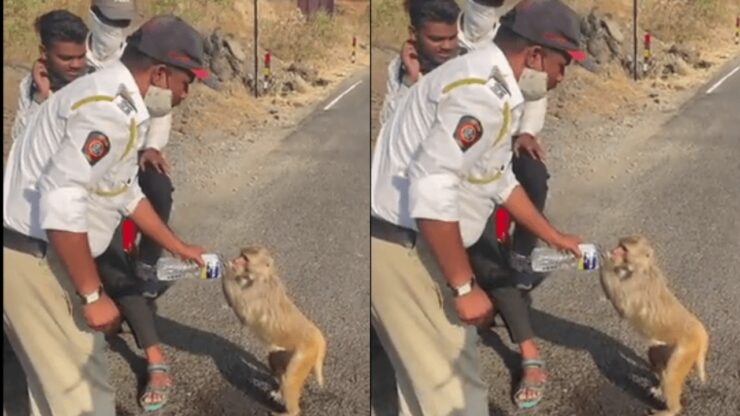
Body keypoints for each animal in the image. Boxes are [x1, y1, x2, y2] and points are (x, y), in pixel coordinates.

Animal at [223, 245, 326, 414]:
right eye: (240, 255)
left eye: (244, 258)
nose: (236, 260)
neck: (261, 276)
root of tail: (319, 338)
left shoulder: (258, 291)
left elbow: (243, 314)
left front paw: (227, 269)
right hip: (286, 350)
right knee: (275, 361)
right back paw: (279, 392)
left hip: (305, 354)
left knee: (290, 380)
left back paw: (291, 412)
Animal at [600, 236, 708, 414]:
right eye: (619, 245)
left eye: (623, 249)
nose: (614, 251)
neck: (640, 268)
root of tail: (701, 332)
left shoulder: (637, 283)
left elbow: (621, 306)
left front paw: (606, 261)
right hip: (667, 345)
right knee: (654, 355)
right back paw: (660, 388)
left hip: (686, 349)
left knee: (671, 376)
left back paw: (671, 410)